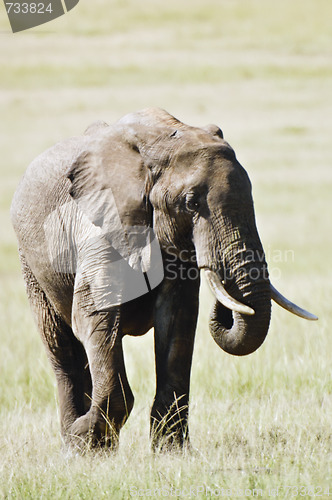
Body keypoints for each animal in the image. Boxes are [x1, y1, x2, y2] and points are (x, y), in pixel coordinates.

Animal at [10, 107, 316, 452]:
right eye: (192, 203)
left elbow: (177, 319)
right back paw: (71, 446)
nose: (228, 307)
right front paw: (86, 444)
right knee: (62, 348)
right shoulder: (102, 225)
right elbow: (94, 316)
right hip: (31, 264)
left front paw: (171, 452)